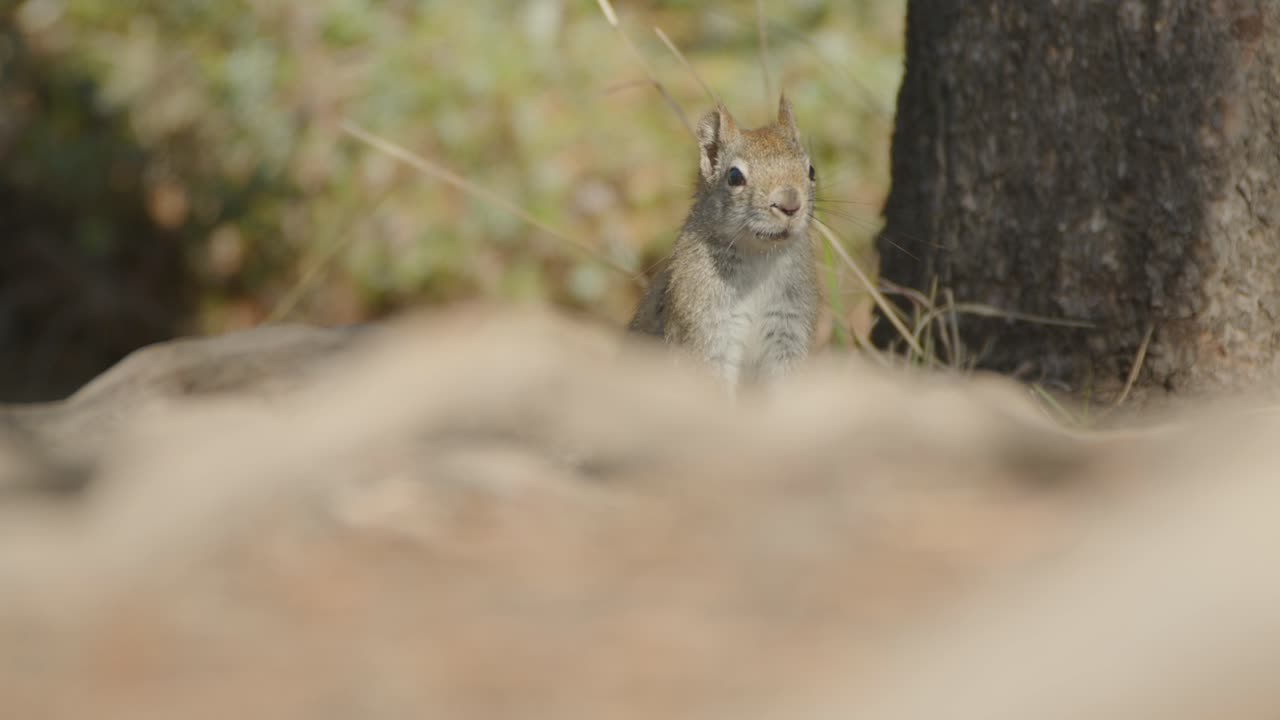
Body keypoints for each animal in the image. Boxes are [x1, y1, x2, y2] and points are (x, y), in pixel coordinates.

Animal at [629, 93, 819, 390]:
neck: (759, 256)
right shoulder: (704, 321)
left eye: (811, 170)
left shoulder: (789, 325)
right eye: (734, 176)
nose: (790, 204)